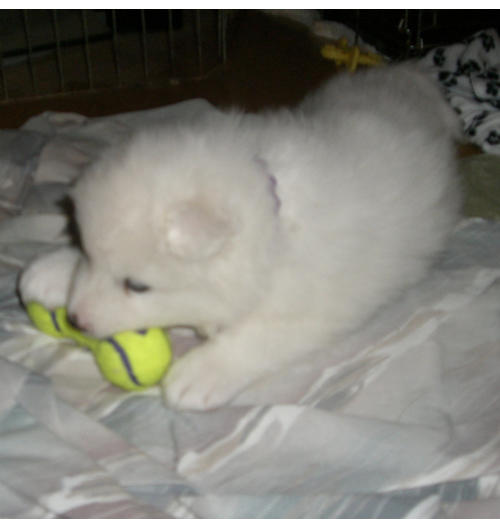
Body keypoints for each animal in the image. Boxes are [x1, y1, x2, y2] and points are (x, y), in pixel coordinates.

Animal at [19, 64, 461, 410]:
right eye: (87, 254)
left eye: (138, 286)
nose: (76, 319)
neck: (272, 219)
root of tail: (414, 79)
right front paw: (51, 272)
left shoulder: (315, 310)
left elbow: (256, 337)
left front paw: (199, 374)